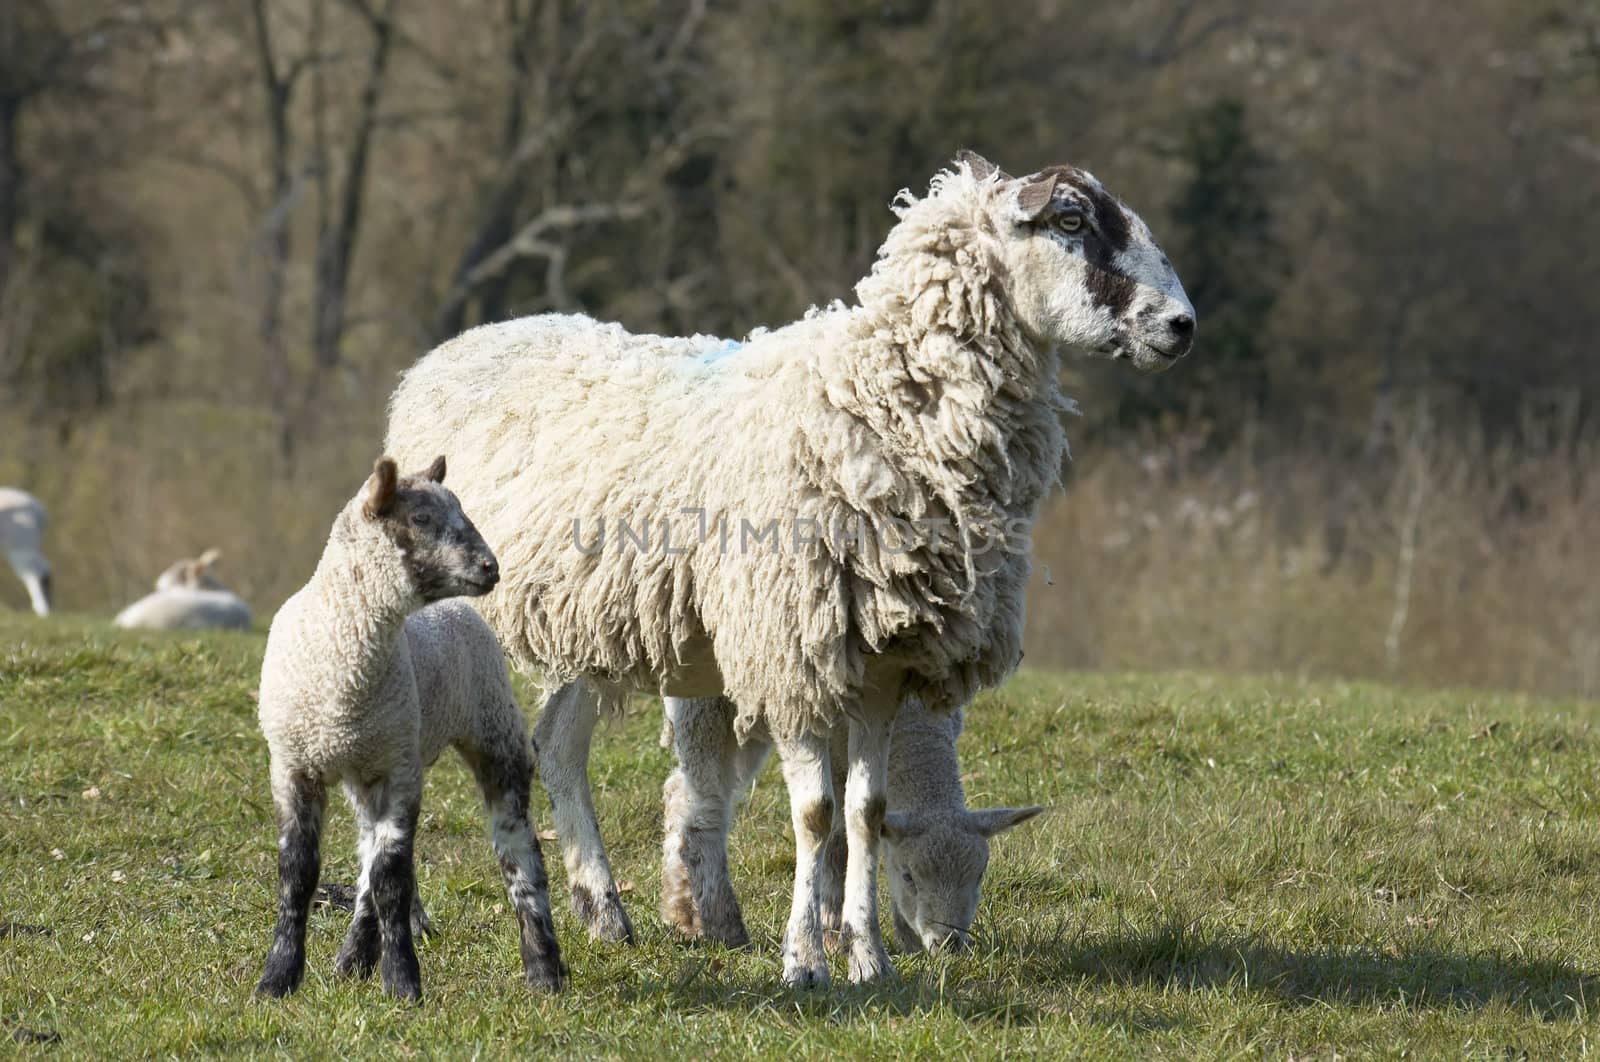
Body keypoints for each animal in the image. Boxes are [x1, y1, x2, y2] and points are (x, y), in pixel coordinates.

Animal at [252, 457, 566, 1004]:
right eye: (420, 518)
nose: (491, 568)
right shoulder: (293, 764)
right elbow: (298, 874)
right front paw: (278, 979)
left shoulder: (399, 771)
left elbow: (392, 880)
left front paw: (401, 982)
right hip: (370, 761)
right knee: (365, 858)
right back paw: (352, 959)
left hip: (492, 729)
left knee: (518, 850)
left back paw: (544, 969)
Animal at [659, 697, 1043, 953]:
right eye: (909, 877)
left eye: (979, 876)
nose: (947, 943)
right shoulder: (834, 748)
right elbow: (838, 840)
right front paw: (833, 930)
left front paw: (905, 936)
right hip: (705, 703)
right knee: (707, 804)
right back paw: (723, 924)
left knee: (681, 792)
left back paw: (683, 911)